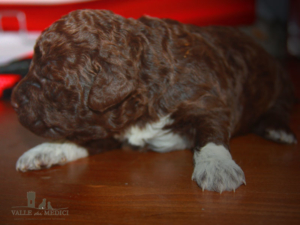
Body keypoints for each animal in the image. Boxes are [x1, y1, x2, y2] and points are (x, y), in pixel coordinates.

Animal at [10, 9, 296, 192]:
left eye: (49, 77)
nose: (13, 100)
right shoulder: (107, 127)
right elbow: (81, 139)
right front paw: (45, 150)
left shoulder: (208, 101)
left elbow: (211, 134)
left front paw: (218, 165)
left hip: (279, 83)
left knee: (282, 104)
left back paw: (278, 129)